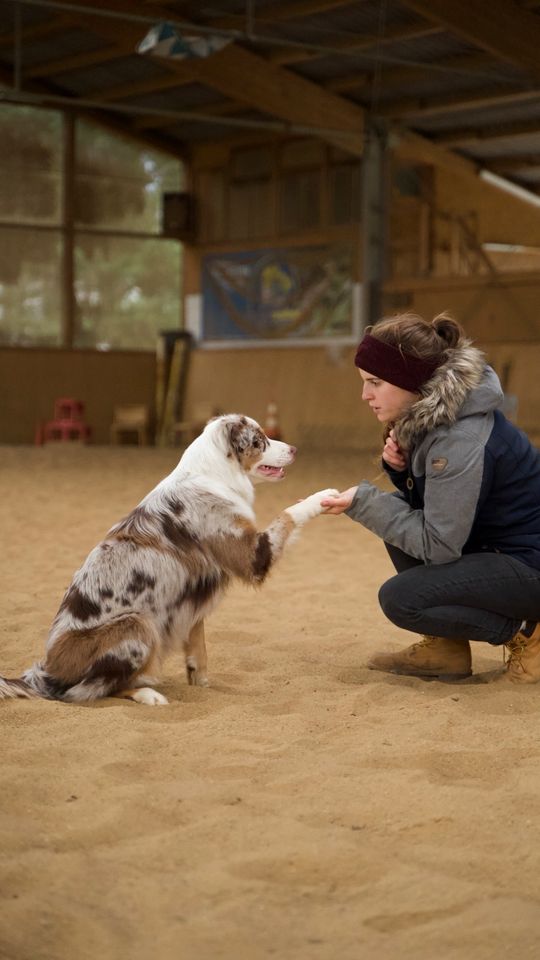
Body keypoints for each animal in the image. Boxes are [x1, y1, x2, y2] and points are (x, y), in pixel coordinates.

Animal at [1, 414, 338, 704]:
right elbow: (288, 513)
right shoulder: (253, 554)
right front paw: (324, 496)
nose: (294, 449)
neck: (214, 475)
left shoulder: (191, 601)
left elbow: (199, 651)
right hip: (136, 624)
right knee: (93, 690)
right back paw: (148, 694)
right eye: (260, 440)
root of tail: (45, 673)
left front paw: (202, 686)